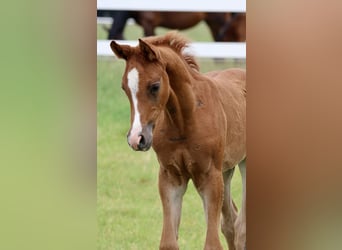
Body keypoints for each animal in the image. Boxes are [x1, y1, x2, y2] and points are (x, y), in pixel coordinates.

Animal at [110, 32, 246, 249]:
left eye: (155, 86)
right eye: (124, 87)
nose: (136, 138)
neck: (185, 120)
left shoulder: (209, 176)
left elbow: (212, 243)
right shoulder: (171, 177)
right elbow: (168, 242)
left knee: (241, 227)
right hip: (226, 169)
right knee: (230, 222)